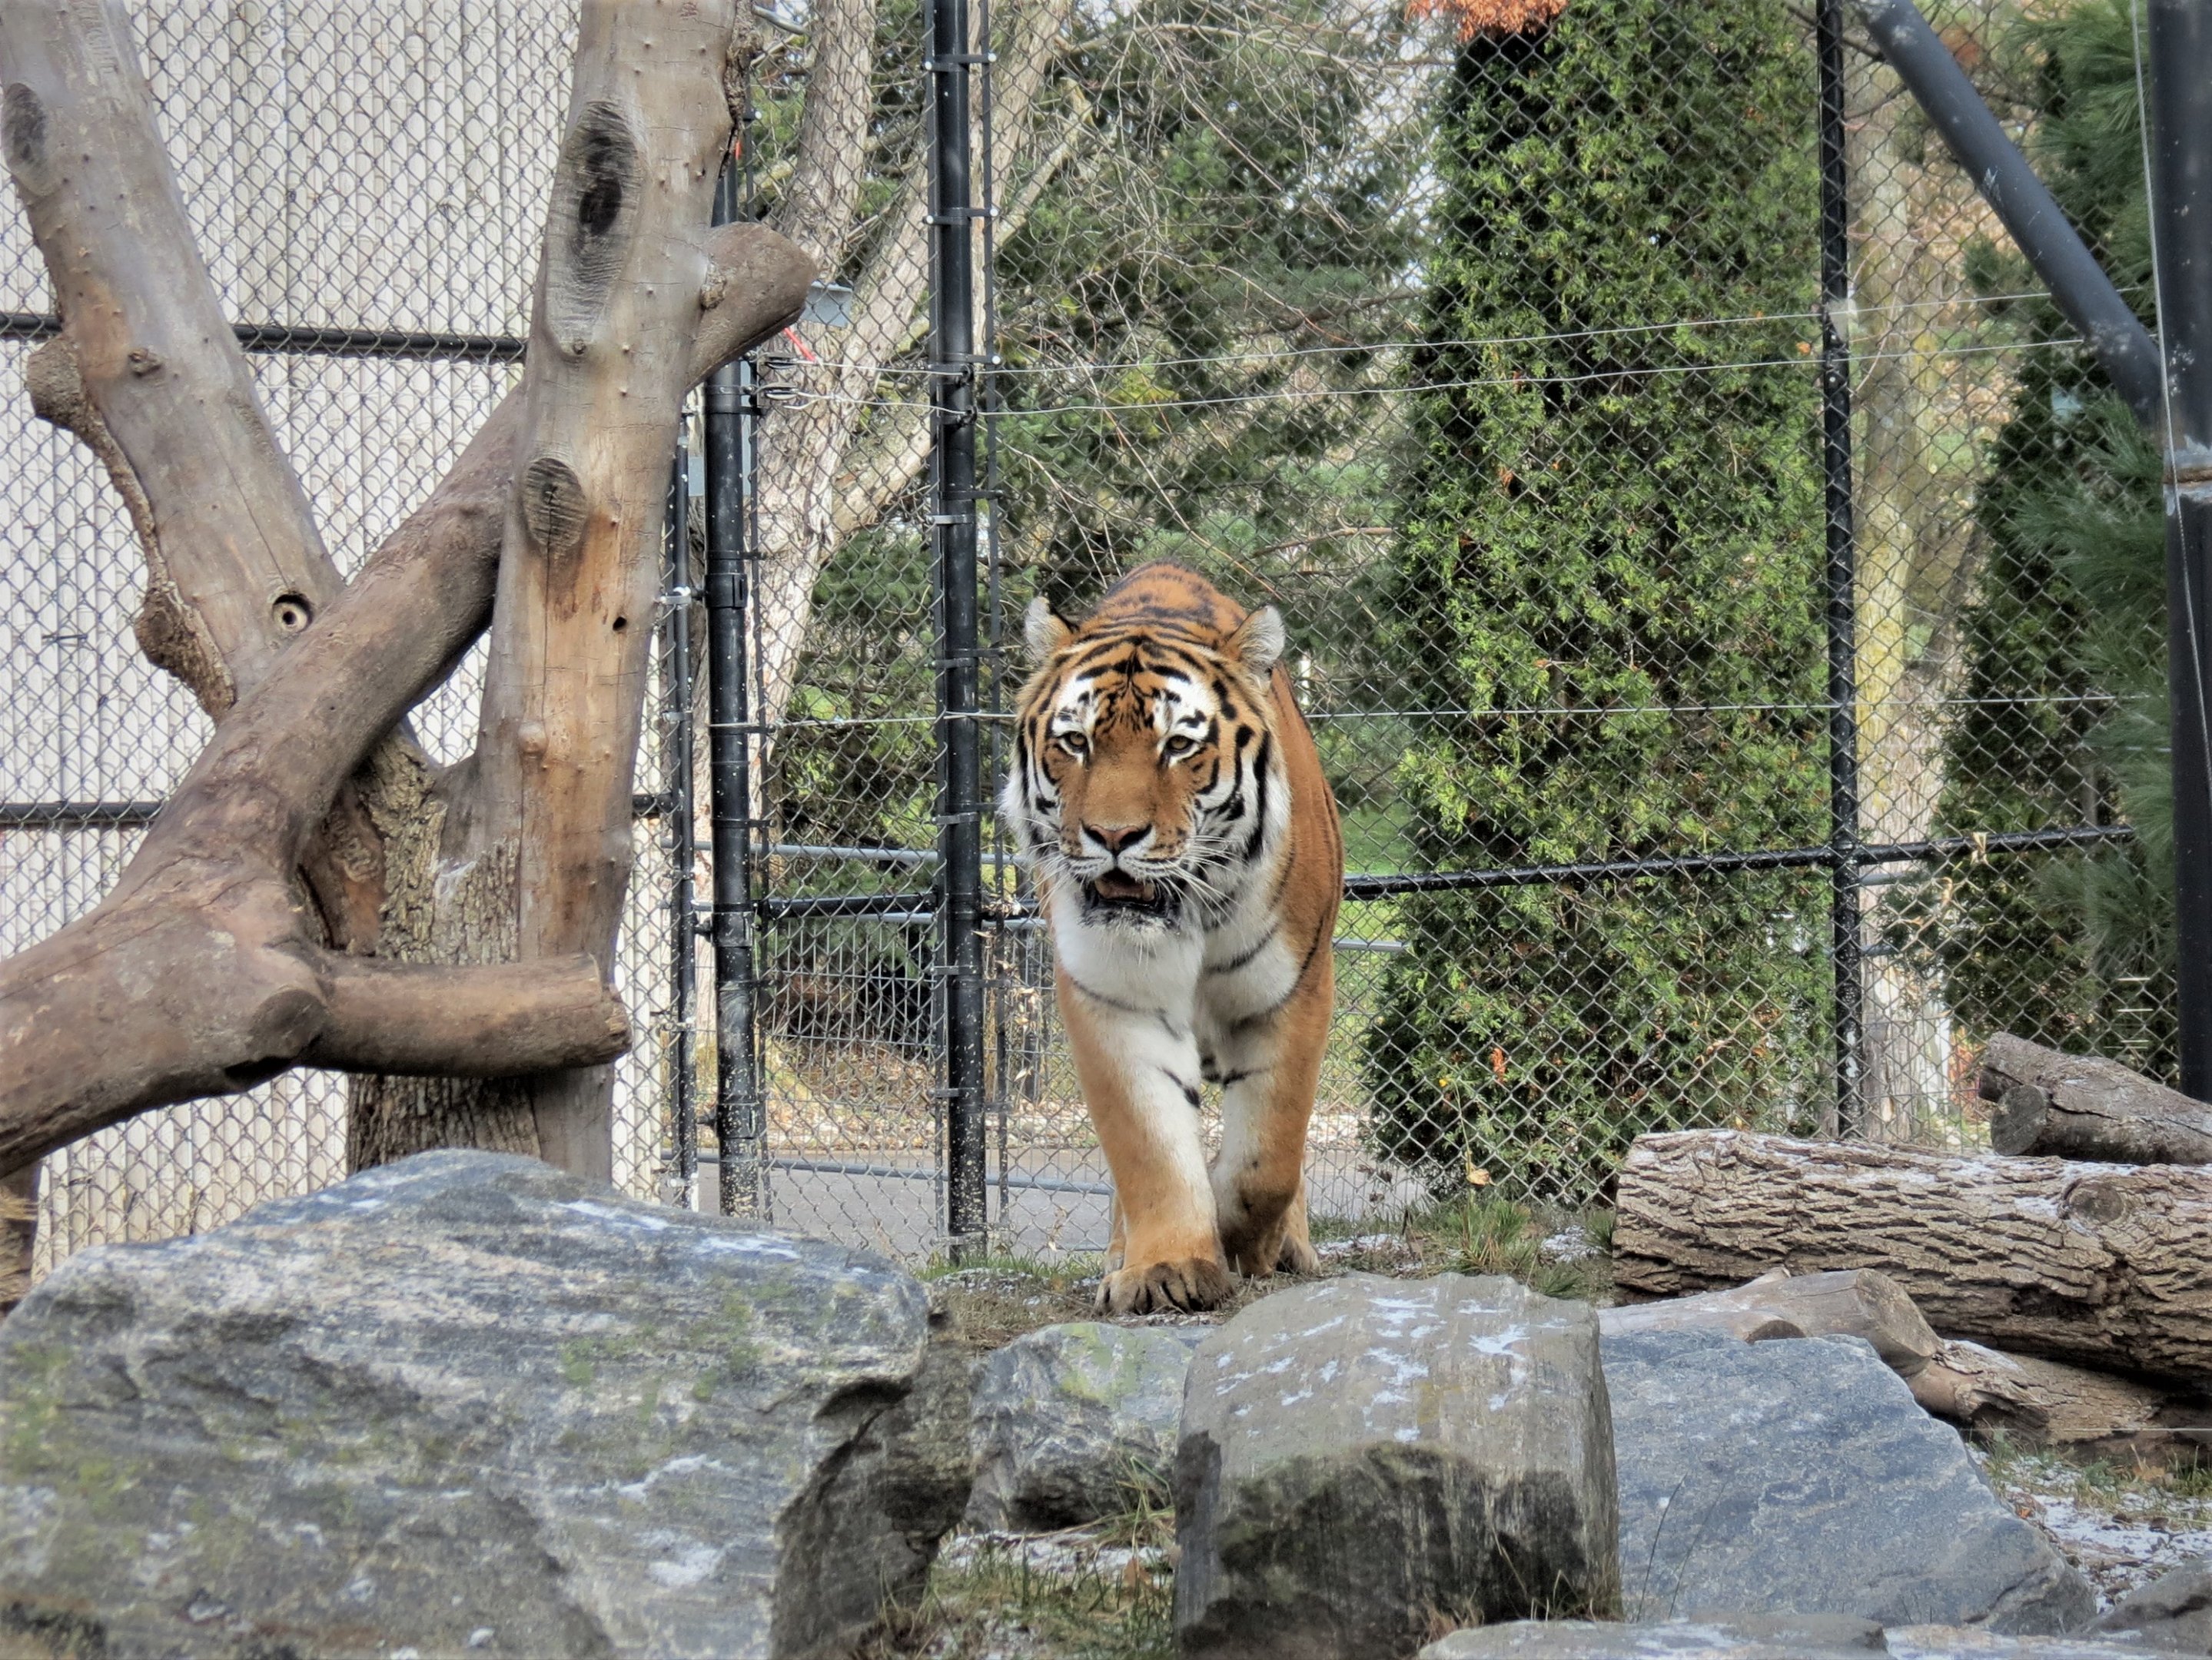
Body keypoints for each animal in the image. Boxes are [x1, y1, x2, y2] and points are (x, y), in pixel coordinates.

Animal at [1003, 561, 1344, 1314]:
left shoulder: (1290, 993)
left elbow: (1267, 1160)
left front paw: (1246, 1243)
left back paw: (1291, 1247)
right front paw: (1167, 1268)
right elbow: (1148, 1149)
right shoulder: (1113, 1000)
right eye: (1076, 742)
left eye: (1178, 745)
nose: (1113, 836)